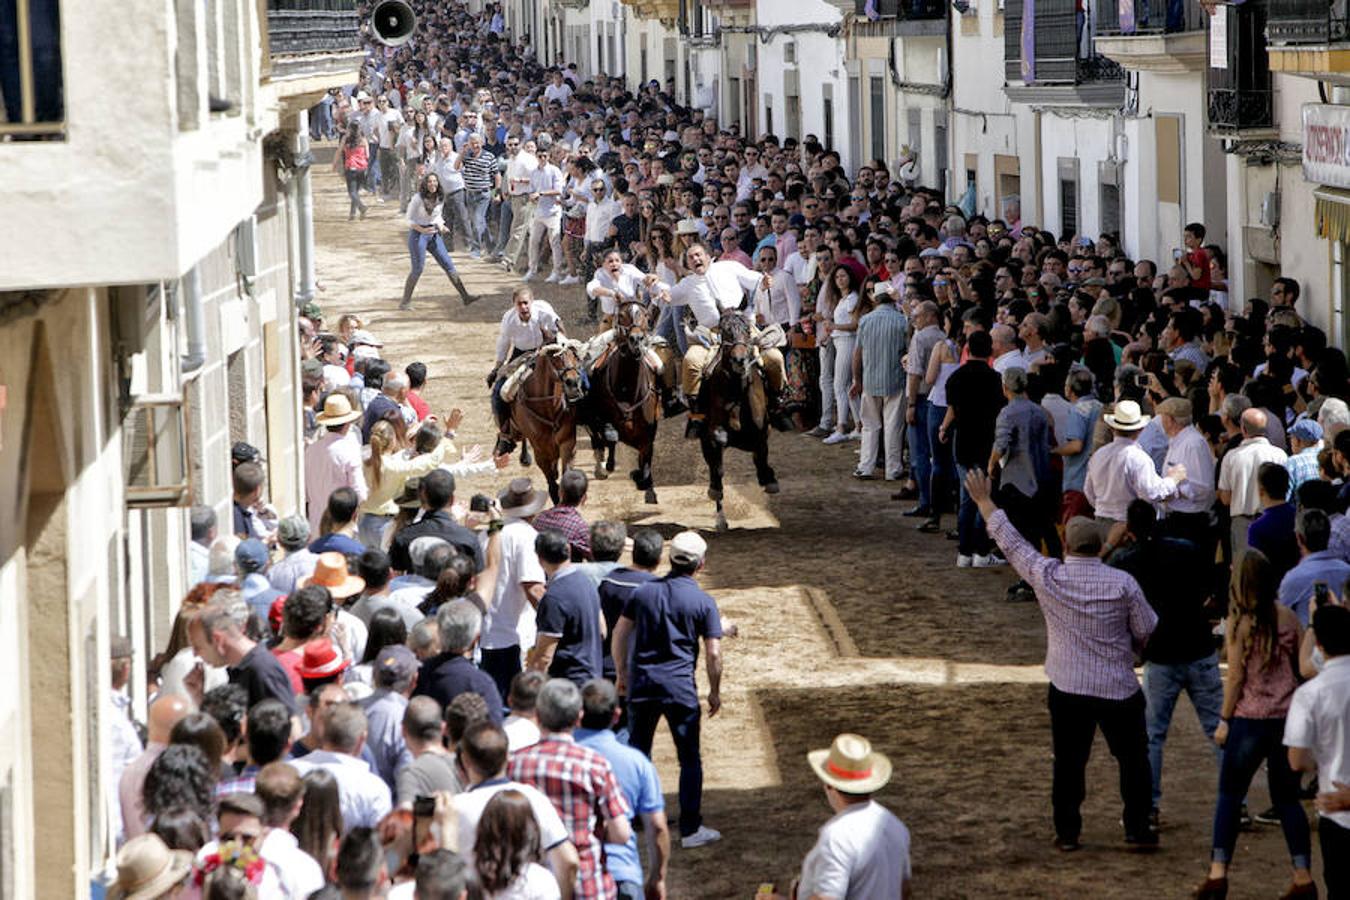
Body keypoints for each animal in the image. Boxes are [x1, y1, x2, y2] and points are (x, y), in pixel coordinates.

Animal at [507, 341, 585, 504]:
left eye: (575, 357)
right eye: (555, 359)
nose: (573, 383)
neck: (547, 407)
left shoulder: (568, 444)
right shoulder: (540, 452)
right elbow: (553, 487)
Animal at [585, 302, 658, 507]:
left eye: (645, 316)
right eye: (623, 315)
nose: (636, 339)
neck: (628, 389)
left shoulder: (648, 432)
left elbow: (646, 461)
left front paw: (642, 481)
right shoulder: (603, 418)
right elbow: (609, 437)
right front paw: (608, 466)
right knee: (598, 440)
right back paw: (601, 467)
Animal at [696, 310, 783, 534]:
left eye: (747, 330)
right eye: (725, 331)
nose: (739, 359)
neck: (737, 392)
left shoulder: (761, 431)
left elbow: (761, 456)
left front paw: (769, 479)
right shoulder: (712, 434)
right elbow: (717, 458)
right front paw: (715, 489)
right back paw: (720, 519)